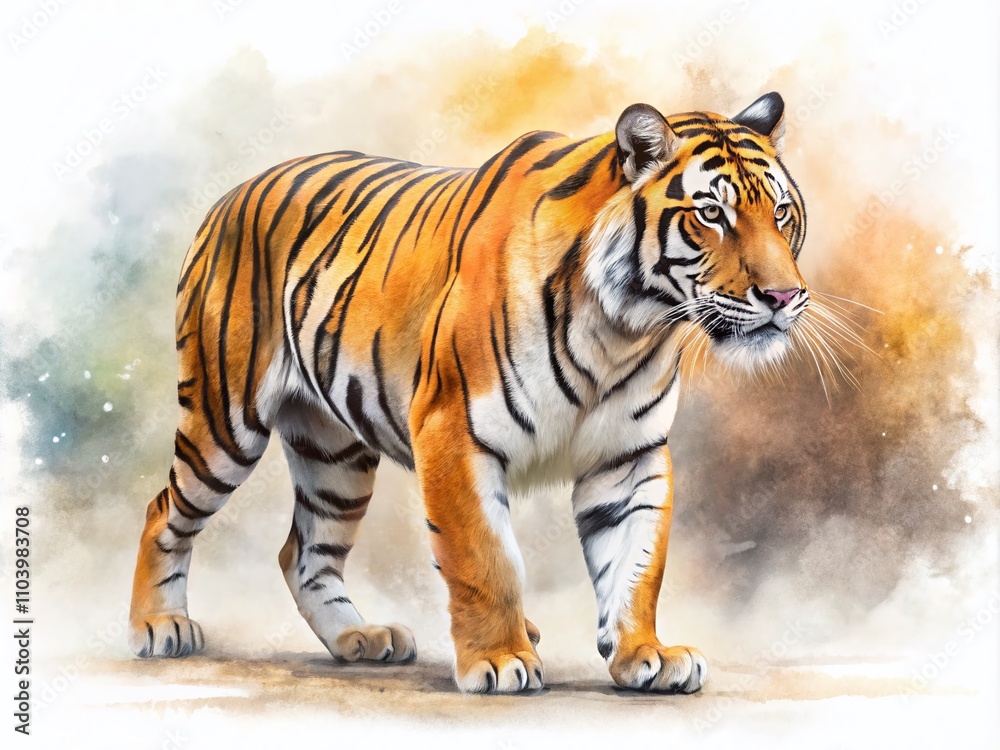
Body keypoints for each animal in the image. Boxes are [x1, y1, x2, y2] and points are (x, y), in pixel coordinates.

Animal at [128, 91, 808, 694]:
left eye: (780, 213)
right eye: (711, 214)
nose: (784, 297)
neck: (625, 327)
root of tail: (233, 192)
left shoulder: (630, 455)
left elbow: (636, 562)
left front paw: (645, 654)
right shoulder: (454, 433)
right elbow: (485, 559)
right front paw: (501, 660)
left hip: (335, 458)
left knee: (304, 551)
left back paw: (359, 639)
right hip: (225, 424)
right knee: (164, 508)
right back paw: (159, 626)